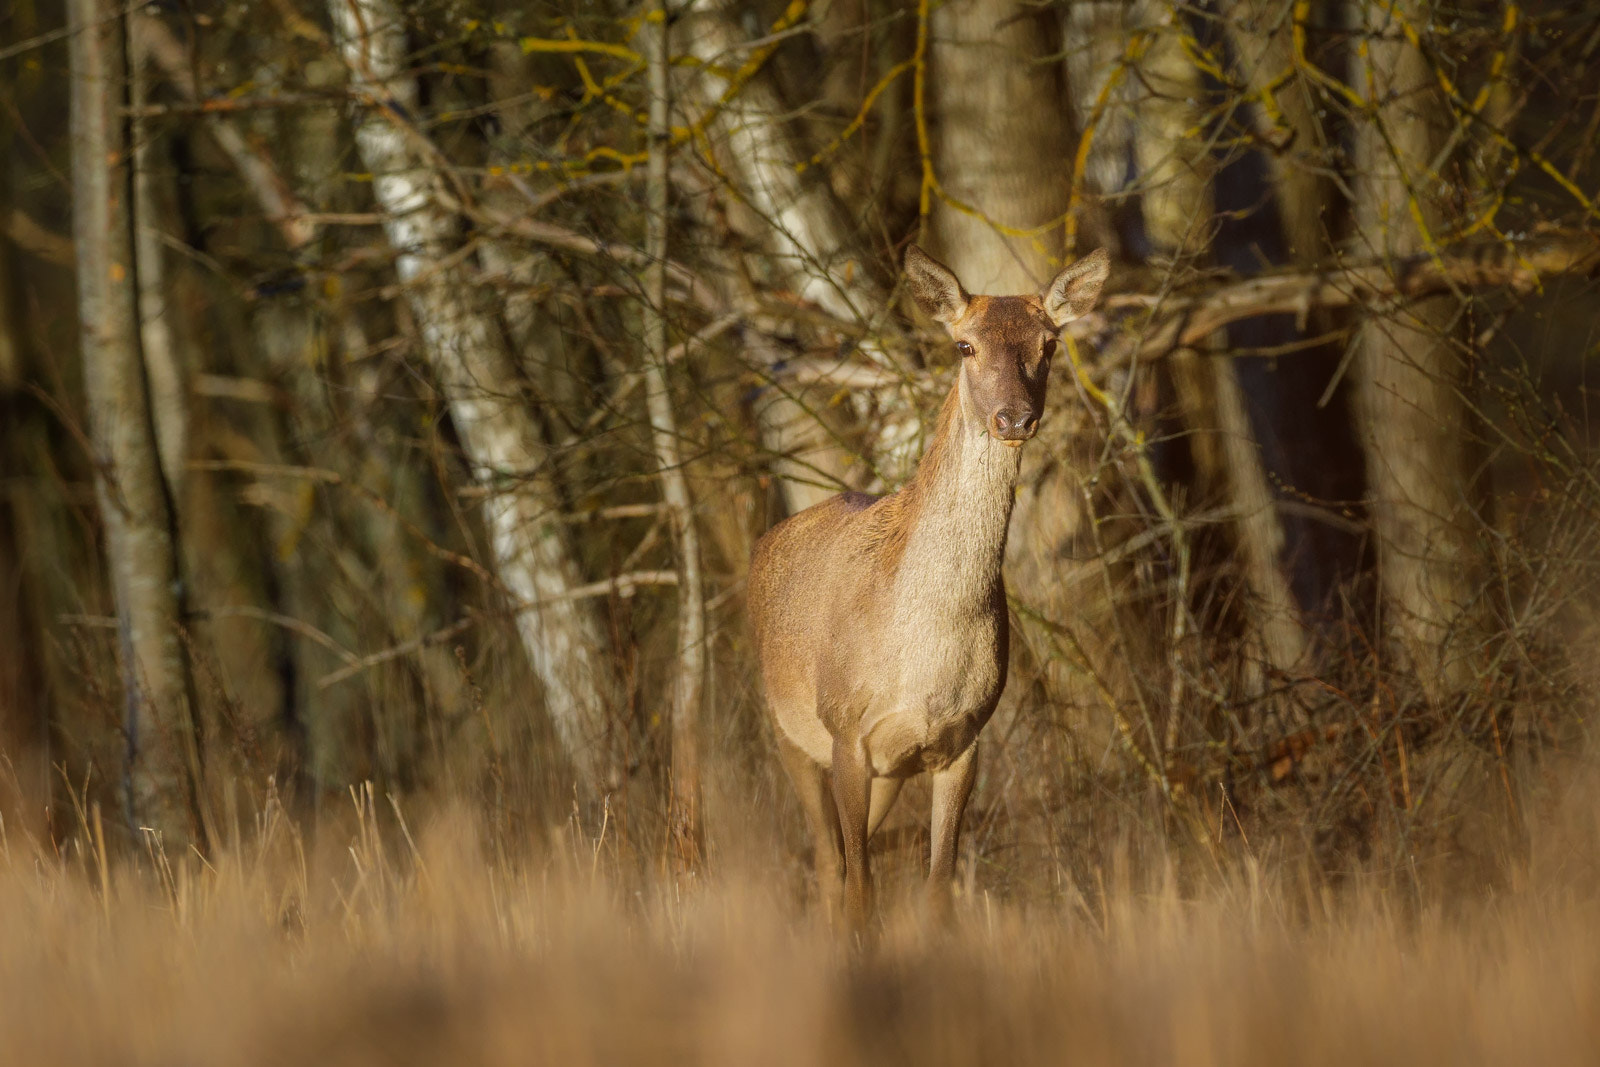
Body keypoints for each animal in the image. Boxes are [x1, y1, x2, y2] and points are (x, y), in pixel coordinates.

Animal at [748, 241, 1113, 927]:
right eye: (964, 345)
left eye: (1050, 343)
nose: (1014, 417)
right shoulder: (846, 731)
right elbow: (861, 890)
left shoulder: (963, 740)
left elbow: (939, 888)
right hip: (786, 728)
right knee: (830, 868)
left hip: (887, 773)